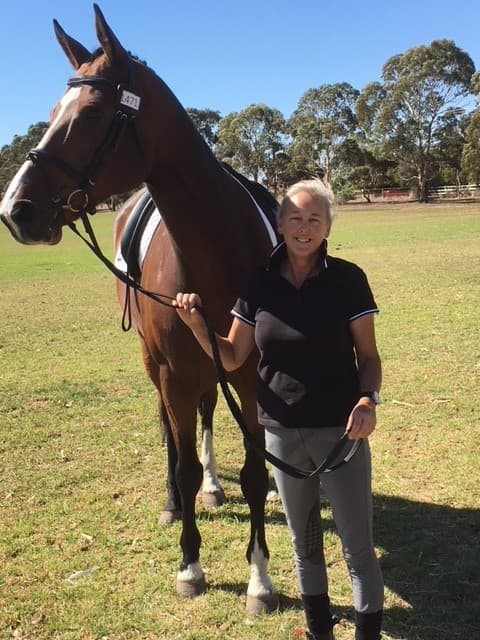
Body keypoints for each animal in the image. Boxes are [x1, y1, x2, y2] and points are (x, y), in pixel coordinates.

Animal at [0, 4, 280, 613]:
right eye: (52, 113)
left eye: (92, 113)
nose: (14, 210)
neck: (216, 250)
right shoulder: (174, 373)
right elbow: (181, 458)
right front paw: (191, 564)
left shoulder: (246, 372)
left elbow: (252, 470)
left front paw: (259, 578)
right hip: (158, 366)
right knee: (173, 435)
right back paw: (178, 500)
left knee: (207, 419)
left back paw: (214, 487)